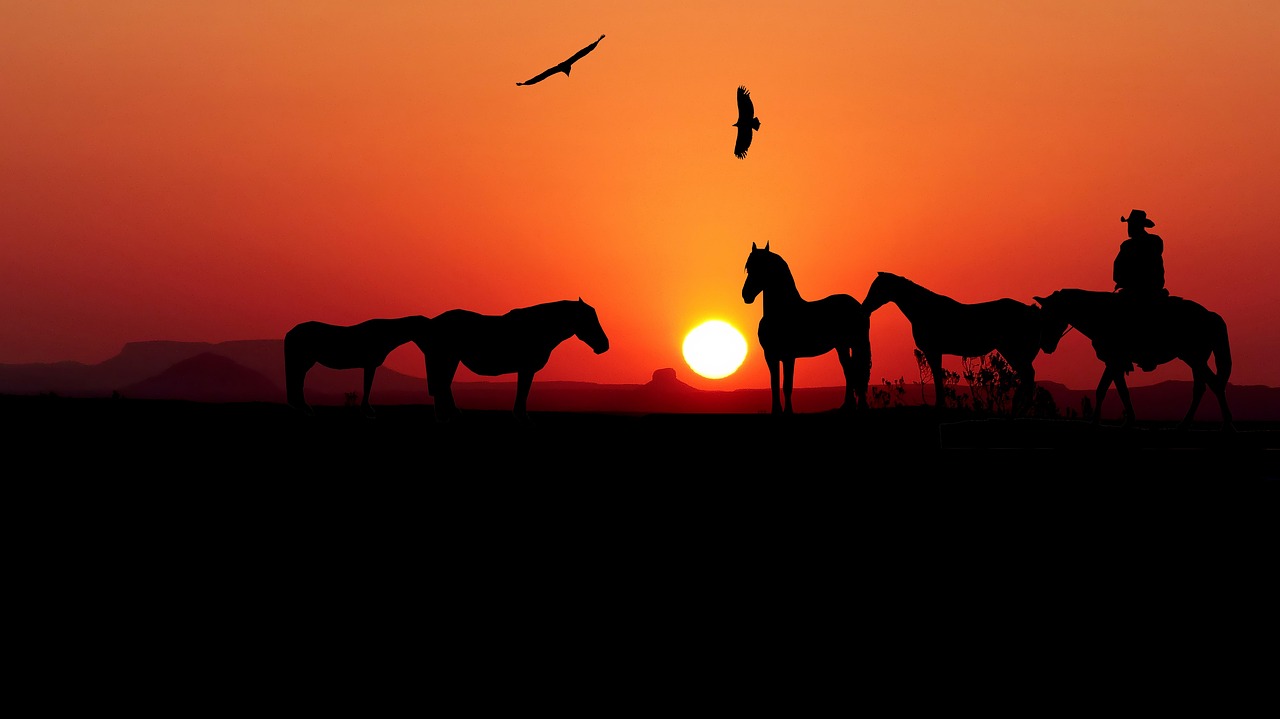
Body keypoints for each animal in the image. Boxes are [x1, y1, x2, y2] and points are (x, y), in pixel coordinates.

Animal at [284, 315, 432, 416]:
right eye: (426, 331)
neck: (384, 334)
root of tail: (291, 332)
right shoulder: (369, 365)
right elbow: (367, 386)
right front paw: (367, 410)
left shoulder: (369, 366)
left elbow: (367, 386)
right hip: (304, 360)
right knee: (297, 379)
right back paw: (303, 406)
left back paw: (299, 406)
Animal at [424, 298, 609, 422]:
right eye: (589, 320)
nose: (605, 345)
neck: (540, 327)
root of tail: (433, 322)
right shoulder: (526, 369)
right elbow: (523, 390)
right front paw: (521, 415)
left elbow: (523, 390)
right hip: (448, 358)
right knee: (442, 384)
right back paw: (448, 414)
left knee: (442, 384)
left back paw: (447, 414)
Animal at [741, 242, 871, 415]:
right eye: (749, 268)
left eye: (763, 267)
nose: (746, 295)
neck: (781, 312)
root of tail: (857, 305)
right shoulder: (770, 356)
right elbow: (774, 384)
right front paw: (776, 411)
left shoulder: (789, 356)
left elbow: (787, 386)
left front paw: (788, 411)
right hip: (842, 346)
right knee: (849, 371)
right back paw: (847, 406)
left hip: (855, 344)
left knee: (855, 372)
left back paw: (858, 406)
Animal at [862, 271, 1044, 415]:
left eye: (877, 288)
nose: (864, 307)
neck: (924, 310)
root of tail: (1031, 311)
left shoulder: (933, 351)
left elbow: (937, 377)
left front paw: (939, 404)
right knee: (1026, 376)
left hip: (1012, 350)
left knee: (1027, 375)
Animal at [1034, 289, 1233, 431]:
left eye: (1048, 316)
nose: (1045, 346)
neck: (1100, 316)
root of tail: (1210, 315)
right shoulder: (1113, 363)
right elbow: (1107, 390)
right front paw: (1101, 421)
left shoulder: (1115, 361)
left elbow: (1115, 391)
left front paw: (1122, 421)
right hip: (1195, 360)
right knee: (1202, 387)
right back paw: (1186, 423)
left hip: (1194, 358)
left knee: (1214, 384)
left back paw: (1225, 425)